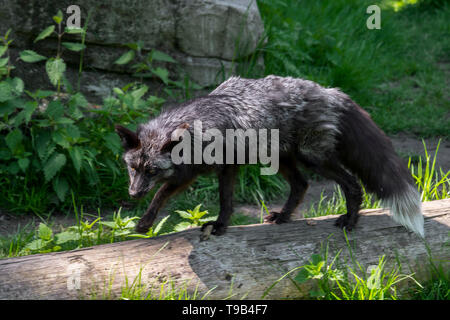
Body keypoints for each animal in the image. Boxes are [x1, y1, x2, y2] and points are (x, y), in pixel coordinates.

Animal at [116, 75, 426, 238]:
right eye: (133, 168)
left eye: (152, 171)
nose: (132, 194)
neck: (195, 130)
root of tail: (330, 92)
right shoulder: (188, 173)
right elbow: (161, 197)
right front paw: (144, 224)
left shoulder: (223, 167)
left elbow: (222, 201)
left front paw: (220, 225)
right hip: (280, 160)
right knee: (301, 185)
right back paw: (284, 216)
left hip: (312, 158)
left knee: (352, 184)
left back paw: (350, 221)